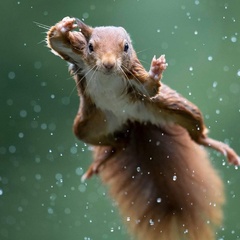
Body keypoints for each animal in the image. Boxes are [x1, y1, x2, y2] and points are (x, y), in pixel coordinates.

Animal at [46, 17, 239, 240]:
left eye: (126, 47)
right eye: (91, 46)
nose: (108, 64)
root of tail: (132, 120)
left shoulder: (134, 74)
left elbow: (149, 88)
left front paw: (156, 71)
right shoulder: (77, 54)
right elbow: (55, 41)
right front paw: (64, 26)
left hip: (175, 108)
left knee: (197, 134)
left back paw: (221, 147)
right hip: (88, 125)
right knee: (118, 142)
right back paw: (103, 159)